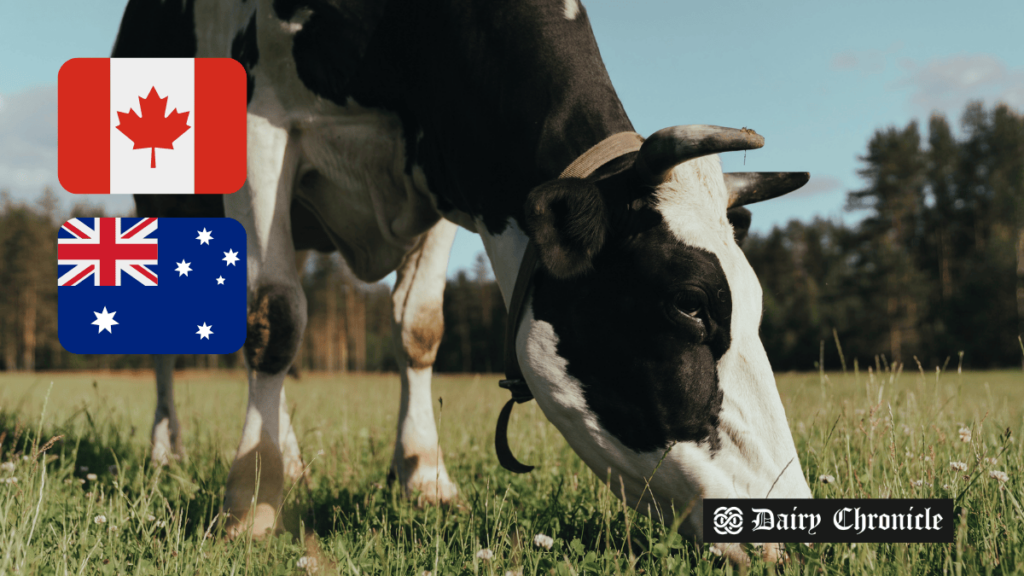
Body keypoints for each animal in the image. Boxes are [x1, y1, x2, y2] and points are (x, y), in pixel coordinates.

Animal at [114, 0, 815, 561]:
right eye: (689, 303)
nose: (790, 519)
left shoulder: (446, 173)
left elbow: (419, 327)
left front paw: (426, 479)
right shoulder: (261, 123)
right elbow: (275, 317)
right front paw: (251, 502)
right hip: (162, 202)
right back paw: (170, 450)